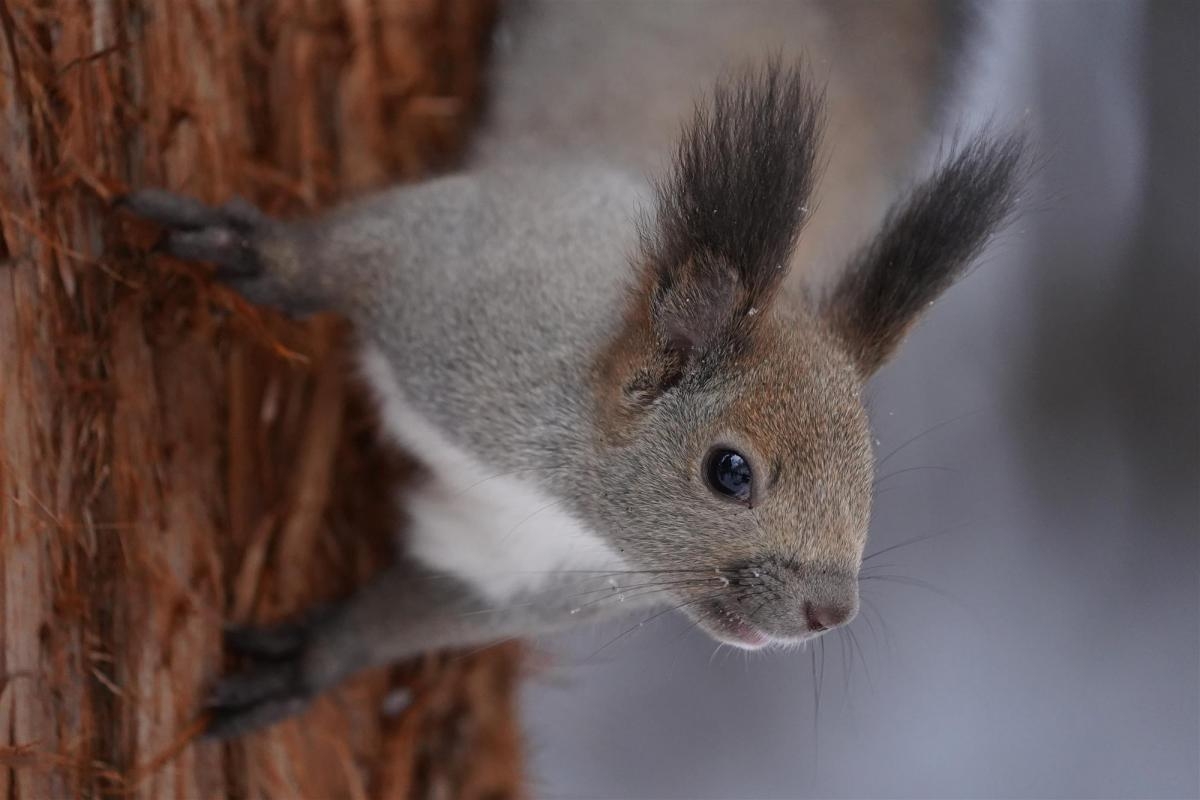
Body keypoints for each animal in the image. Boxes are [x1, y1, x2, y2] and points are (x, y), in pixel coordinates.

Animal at [119, 1, 1022, 738]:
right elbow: (341, 257)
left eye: (870, 474)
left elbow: (414, 611)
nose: (829, 611)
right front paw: (252, 250)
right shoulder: (455, 271)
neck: (565, 495)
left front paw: (312, 662)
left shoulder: (511, 568)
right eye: (729, 472)